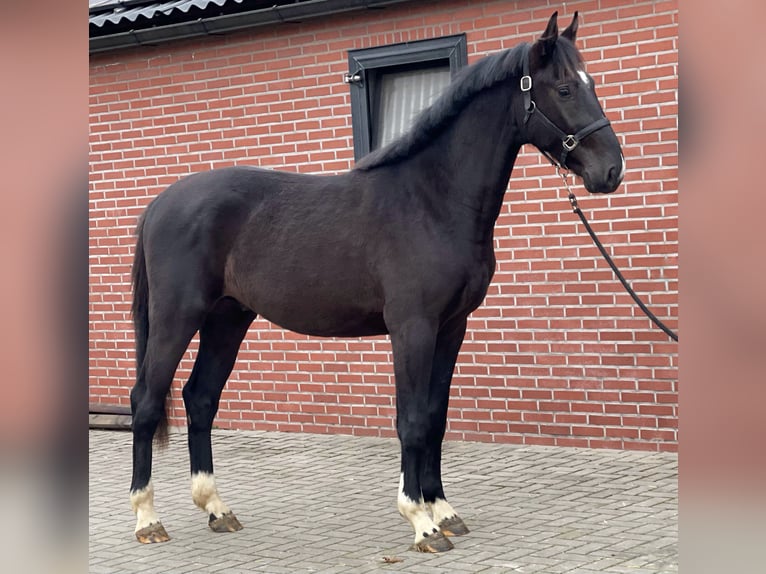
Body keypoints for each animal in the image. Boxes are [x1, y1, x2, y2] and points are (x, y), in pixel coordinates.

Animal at [129, 11, 628, 552]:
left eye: (592, 84)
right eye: (564, 88)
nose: (611, 170)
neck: (432, 201)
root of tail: (159, 204)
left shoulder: (452, 327)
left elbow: (435, 416)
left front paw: (444, 509)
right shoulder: (413, 327)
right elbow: (411, 420)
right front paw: (422, 521)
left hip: (228, 318)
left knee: (200, 398)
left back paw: (217, 508)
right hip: (178, 317)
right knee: (146, 400)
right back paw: (148, 519)